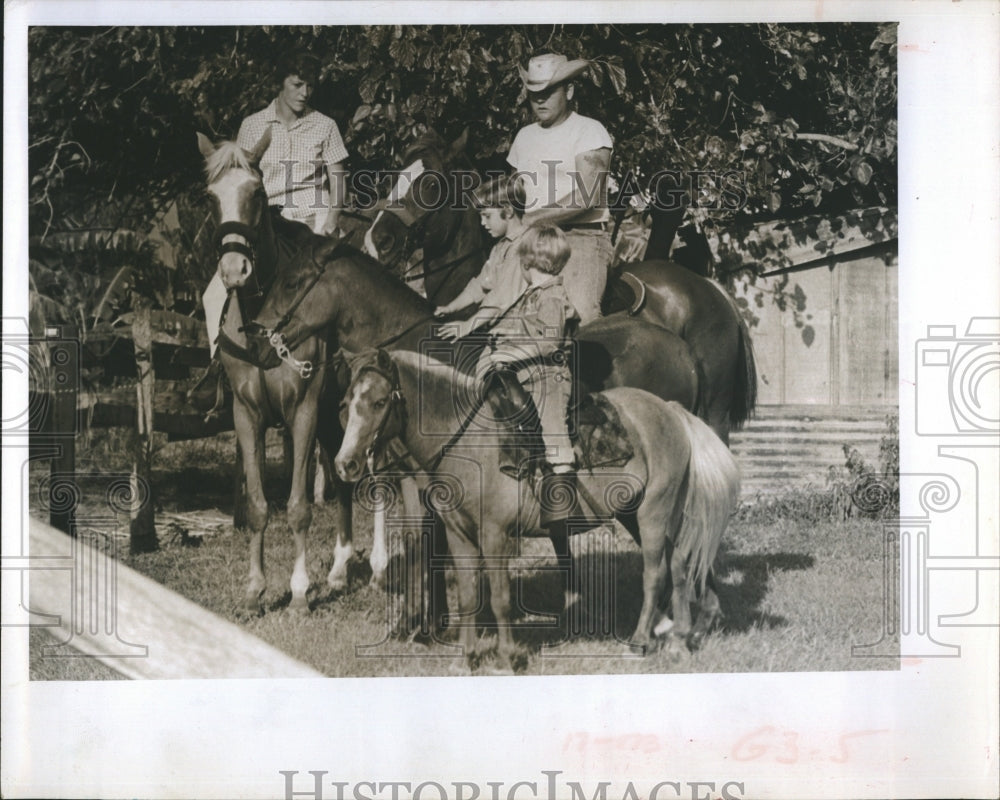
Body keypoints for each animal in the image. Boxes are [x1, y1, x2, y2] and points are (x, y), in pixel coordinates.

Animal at [196, 134, 356, 616]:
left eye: (256, 194)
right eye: (210, 197)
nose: (234, 270)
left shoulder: (303, 410)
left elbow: (299, 507)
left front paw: (299, 593)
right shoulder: (246, 415)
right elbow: (257, 505)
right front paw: (255, 591)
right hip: (332, 419)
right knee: (345, 481)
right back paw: (340, 572)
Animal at [332, 350, 740, 668]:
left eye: (380, 402)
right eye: (346, 403)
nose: (345, 465)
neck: (468, 442)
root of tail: (670, 412)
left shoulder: (495, 535)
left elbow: (499, 598)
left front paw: (506, 658)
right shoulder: (460, 535)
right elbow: (468, 596)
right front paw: (466, 659)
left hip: (654, 514)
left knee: (655, 574)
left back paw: (641, 641)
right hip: (643, 516)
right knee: (680, 567)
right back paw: (679, 640)